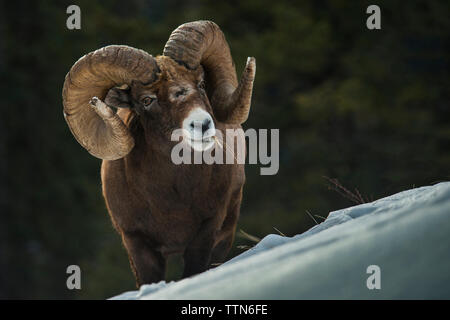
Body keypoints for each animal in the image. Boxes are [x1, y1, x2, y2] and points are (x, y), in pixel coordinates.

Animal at [61, 20, 255, 284]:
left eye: (201, 84)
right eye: (146, 100)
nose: (202, 124)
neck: (171, 198)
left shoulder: (207, 231)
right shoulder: (137, 243)